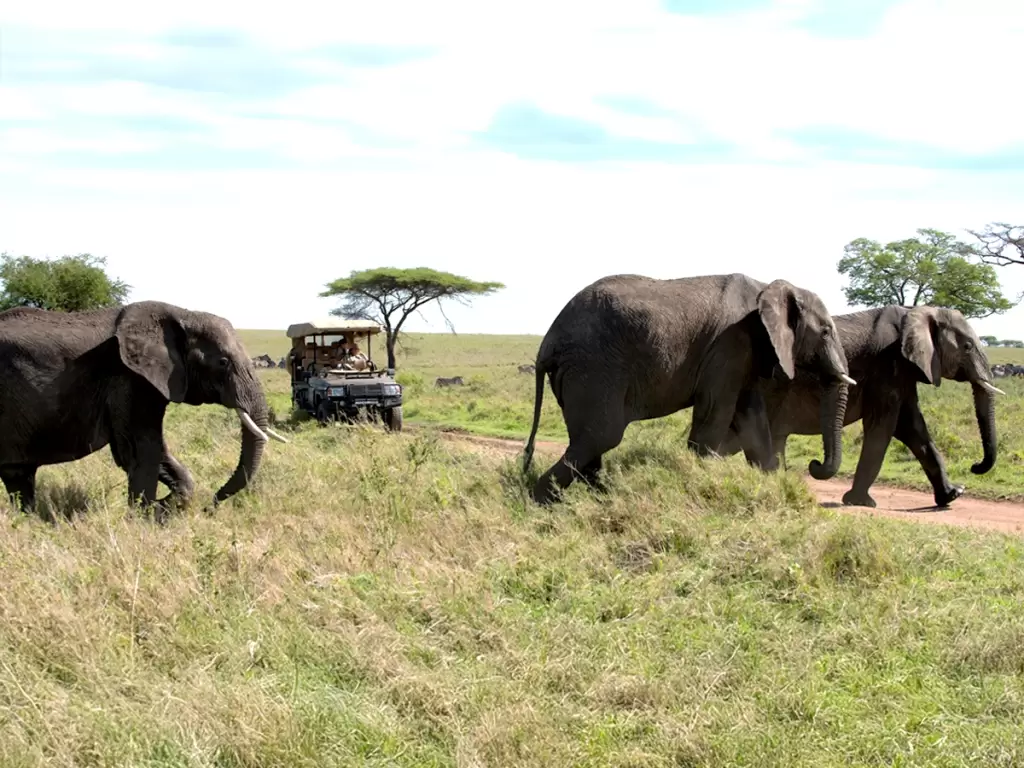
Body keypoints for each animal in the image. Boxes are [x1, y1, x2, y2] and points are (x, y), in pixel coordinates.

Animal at [0, 300, 289, 516]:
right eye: (223, 362)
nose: (211, 507)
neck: (182, 314)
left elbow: (152, 452)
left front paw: (161, 509)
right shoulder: (130, 378)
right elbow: (140, 450)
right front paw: (144, 519)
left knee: (19, 476)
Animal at [522, 273, 856, 504]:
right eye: (826, 332)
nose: (814, 465)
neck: (769, 286)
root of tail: (547, 343)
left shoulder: (744, 354)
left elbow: (753, 420)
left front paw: (773, 489)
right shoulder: (728, 346)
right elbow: (714, 417)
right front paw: (700, 484)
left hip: (578, 373)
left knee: (588, 440)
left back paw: (601, 498)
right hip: (593, 368)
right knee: (601, 436)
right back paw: (543, 502)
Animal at [718, 304, 1003, 508]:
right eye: (967, 346)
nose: (975, 466)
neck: (915, 311)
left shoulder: (903, 373)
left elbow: (914, 430)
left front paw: (952, 495)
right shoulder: (887, 365)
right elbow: (882, 428)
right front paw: (860, 502)